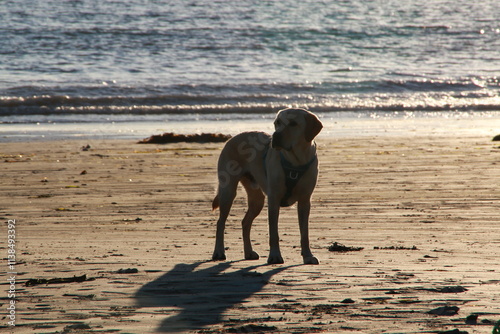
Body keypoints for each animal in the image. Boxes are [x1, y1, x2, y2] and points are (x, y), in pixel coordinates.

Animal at [212, 108, 324, 264]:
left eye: (293, 123)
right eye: (277, 122)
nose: (275, 136)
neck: (296, 161)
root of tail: (232, 138)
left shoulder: (305, 200)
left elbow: (304, 233)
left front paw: (308, 255)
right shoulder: (274, 199)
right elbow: (274, 233)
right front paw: (275, 255)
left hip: (257, 200)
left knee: (245, 222)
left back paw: (248, 252)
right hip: (227, 191)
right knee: (220, 223)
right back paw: (218, 251)